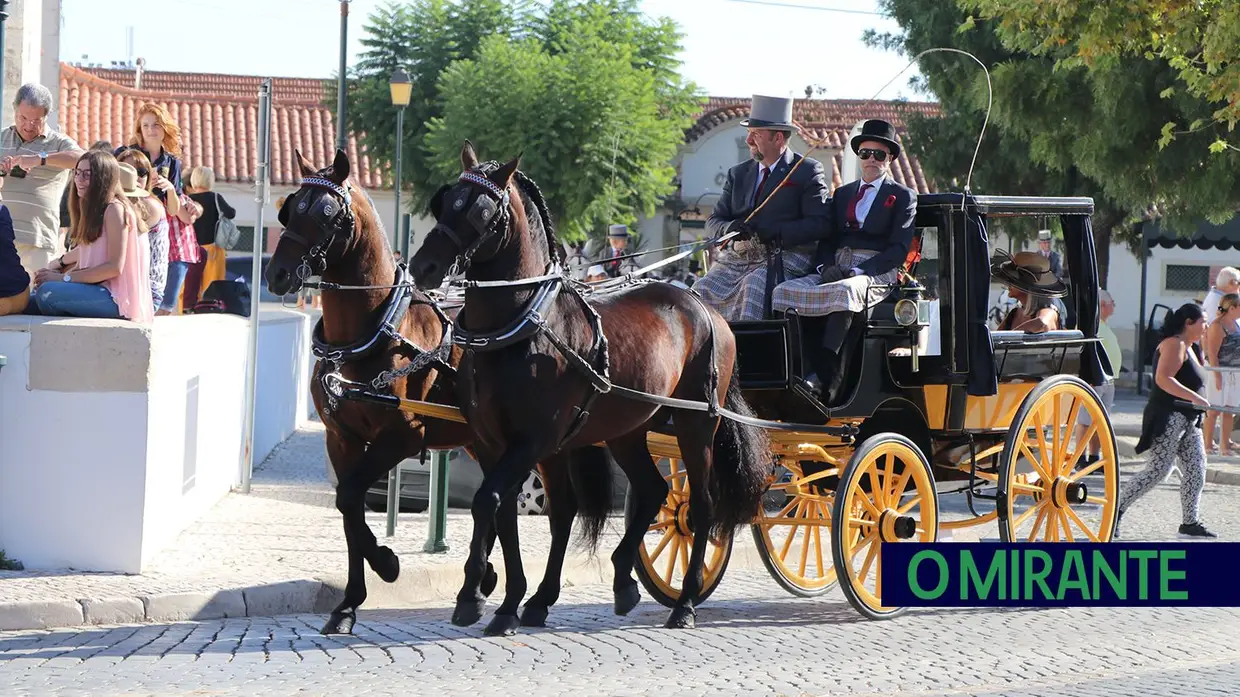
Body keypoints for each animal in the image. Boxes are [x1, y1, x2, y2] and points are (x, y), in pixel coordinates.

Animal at [411, 141, 768, 630]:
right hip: (627, 429)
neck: (520, 326)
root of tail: (704, 307)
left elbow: (490, 501)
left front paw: (482, 598)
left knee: (700, 506)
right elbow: (509, 511)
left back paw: (685, 604)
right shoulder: (491, 441)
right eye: (446, 202)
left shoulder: (532, 440)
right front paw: (510, 597)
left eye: (482, 212)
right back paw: (615, 581)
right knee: (651, 491)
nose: (421, 266)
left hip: (695, 426)